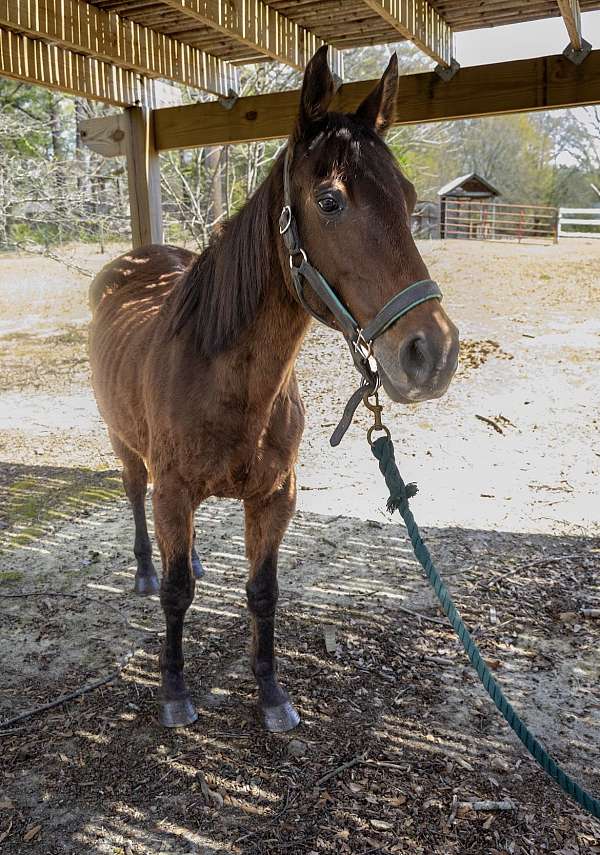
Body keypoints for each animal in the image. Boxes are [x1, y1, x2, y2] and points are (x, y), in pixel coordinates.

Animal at [88, 46, 459, 733]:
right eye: (330, 200)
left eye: (409, 197)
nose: (433, 353)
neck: (229, 386)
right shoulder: (173, 489)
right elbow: (178, 595)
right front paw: (174, 689)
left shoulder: (274, 497)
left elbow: (263, 593)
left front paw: (270, 694)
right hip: (125, 445)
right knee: (134, 497)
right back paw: (146, 571)